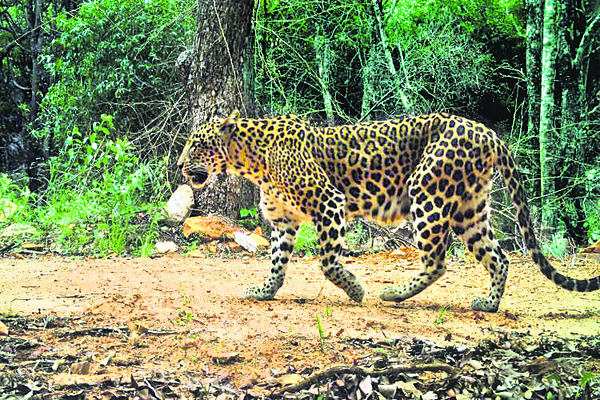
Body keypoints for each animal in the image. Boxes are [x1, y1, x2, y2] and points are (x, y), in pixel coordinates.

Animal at [178, 109, 600, 312]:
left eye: (197, 144)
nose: (180, 165)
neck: (250, 161)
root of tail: (488, 132)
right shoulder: (283, 222)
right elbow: (277, 263)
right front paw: (265, 292)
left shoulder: (330, 203)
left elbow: (327, 261)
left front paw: (356, 289)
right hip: (470, 208)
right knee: (498, 257)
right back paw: (489, 304)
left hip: (428, 192)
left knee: (437, 260)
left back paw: (394, 293)